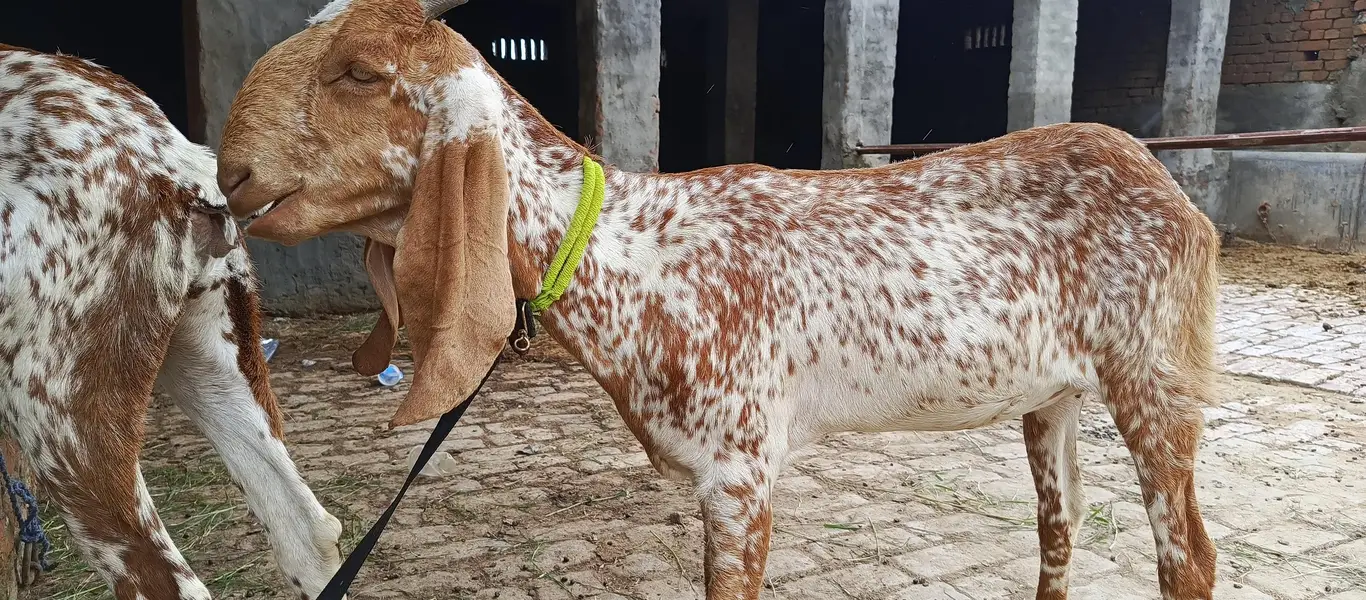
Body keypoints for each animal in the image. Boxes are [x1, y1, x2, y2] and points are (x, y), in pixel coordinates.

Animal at [216, 1, 1223, 598]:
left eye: (361, 71)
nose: (233, 174)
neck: (633, 249)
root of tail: (1169, 189)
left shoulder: (739, 466)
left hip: (1155, 381)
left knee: (1188, 554)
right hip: (1052, 395)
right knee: (1061, 524)